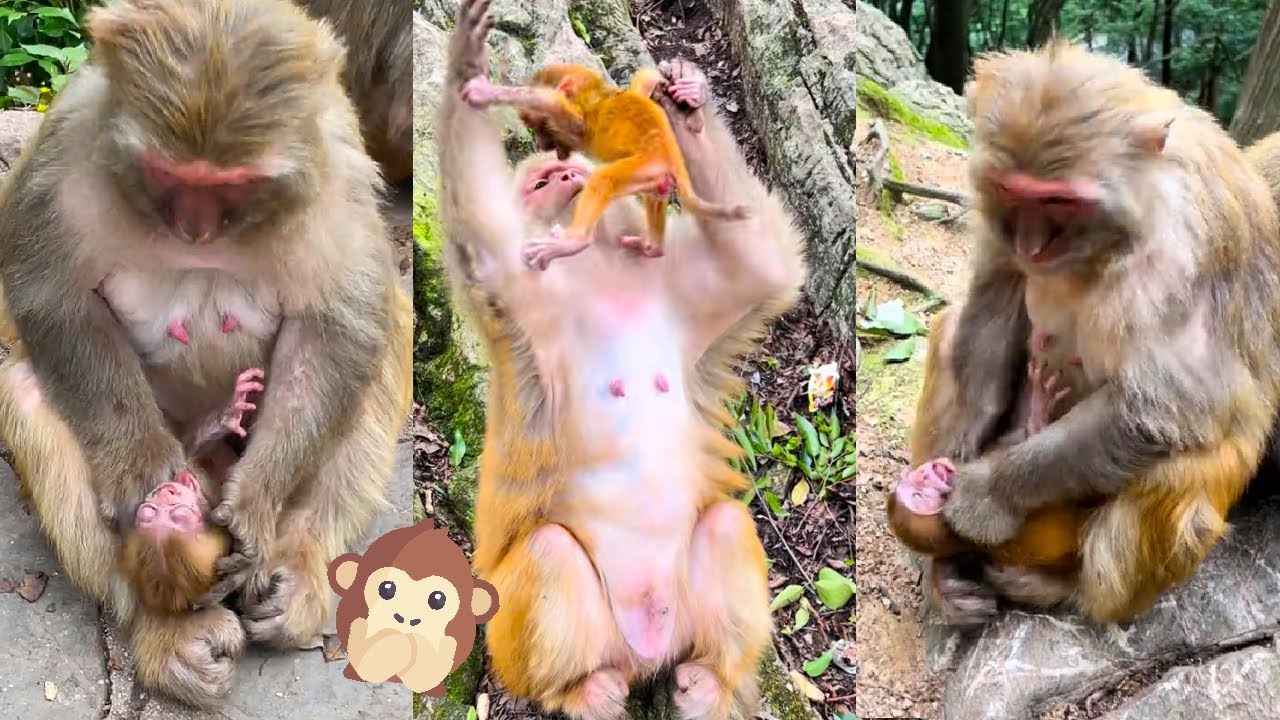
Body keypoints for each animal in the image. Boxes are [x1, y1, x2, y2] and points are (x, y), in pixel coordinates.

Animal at [458, 62, 753, 269]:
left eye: (537, 126)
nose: (541, 145)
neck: (596, 97)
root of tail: (671, 155)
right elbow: (644, 81)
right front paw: (687, 93)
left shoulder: (575, 122)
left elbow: (549, 102)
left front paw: (485, 91)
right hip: (654, 175)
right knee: (654, 193)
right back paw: (653, 248)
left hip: (645, 165)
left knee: (603, 180)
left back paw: (575, 242)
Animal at [903, 41, 1280, 626]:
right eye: (1013, 192)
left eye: (1058, 201)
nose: (1031, 245)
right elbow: (996, 294)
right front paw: (963, 443)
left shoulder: (1174, 255)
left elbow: (1167, 407)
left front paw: (989, 494)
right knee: (948, 332)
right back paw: (946, 572)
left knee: (1183, 462)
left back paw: (1063, 587)